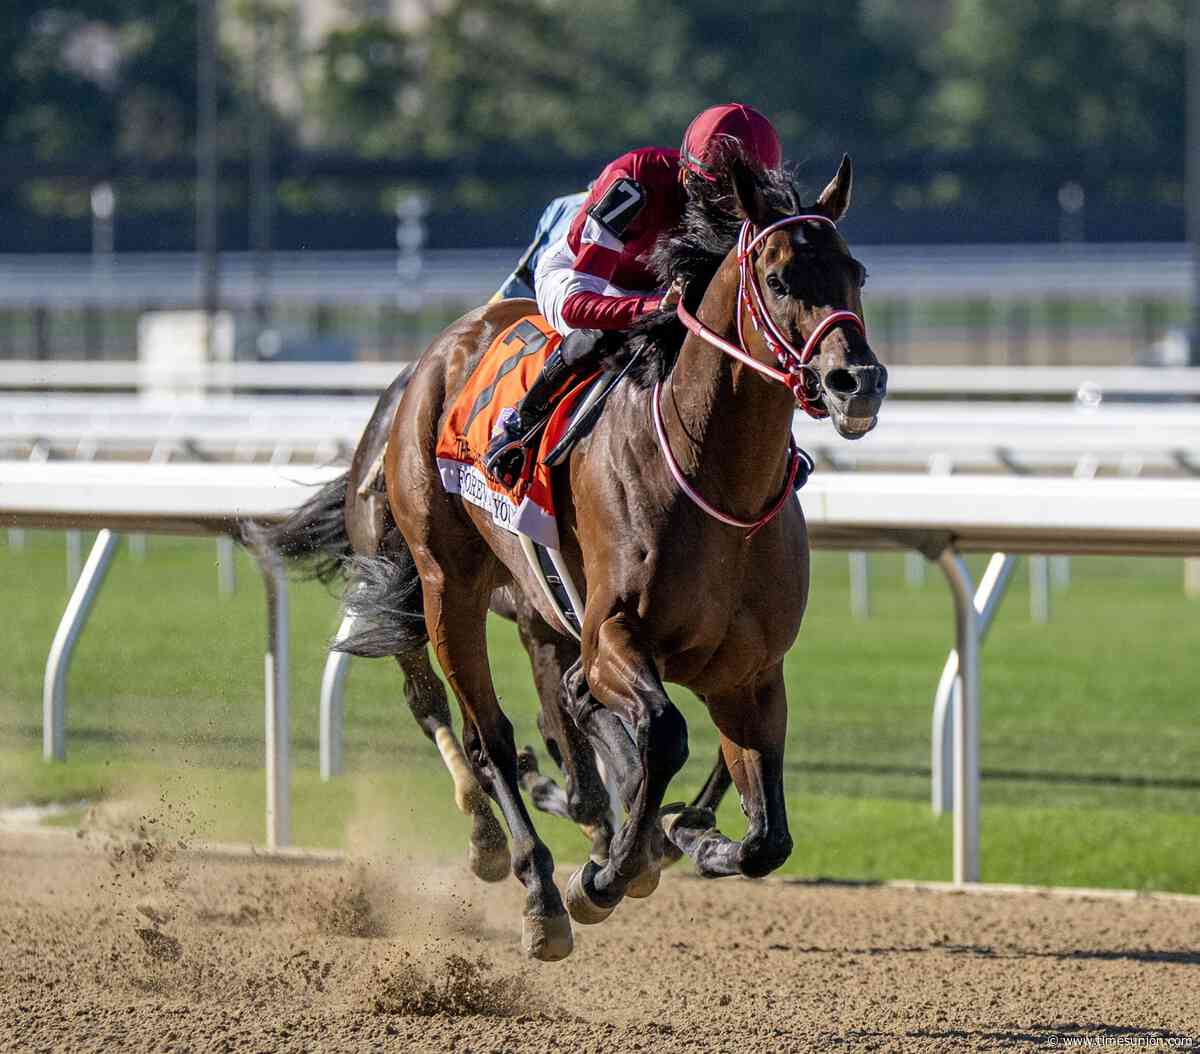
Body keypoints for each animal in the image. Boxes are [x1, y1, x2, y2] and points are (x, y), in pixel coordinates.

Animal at [344, 153, 885, 961]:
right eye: (780, 277)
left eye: (856, 271)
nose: (859, 383)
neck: (711, 476)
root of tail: (442, 351)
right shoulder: (610, 637)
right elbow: (661, 733)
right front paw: (603, 876)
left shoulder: (749, 673)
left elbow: (768, 837)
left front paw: (693, 837)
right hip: (448, 584)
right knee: (487, 735)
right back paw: (537, 888)